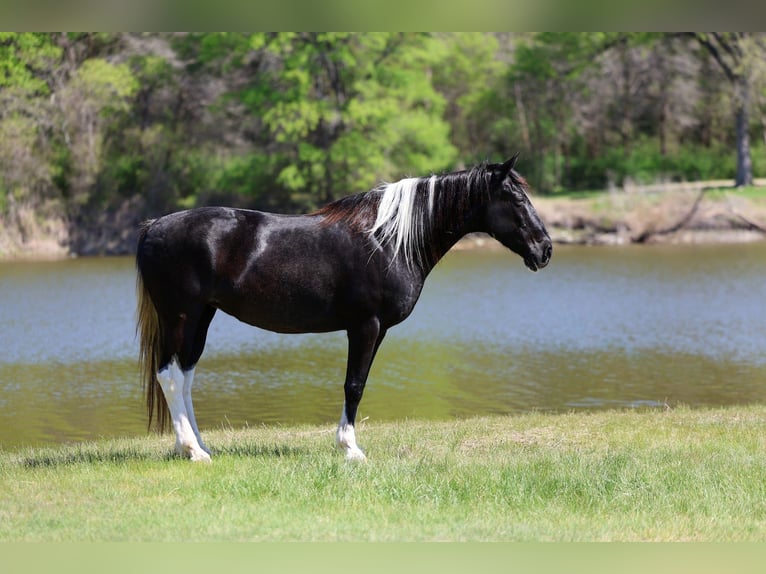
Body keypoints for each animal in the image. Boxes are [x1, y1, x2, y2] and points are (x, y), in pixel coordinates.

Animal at [135, 154, 552, 462]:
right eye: (517, 200)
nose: (545, 249)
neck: (389, 240)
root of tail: (154, 226)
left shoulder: (377, 330)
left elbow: (358, 383)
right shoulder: (366, 325)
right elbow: (354, 385)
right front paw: (350, 449)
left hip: (200, 318)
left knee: (185, 376)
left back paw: (197, 446)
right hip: (181, 315)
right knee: (169, 375)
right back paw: (193, 451)